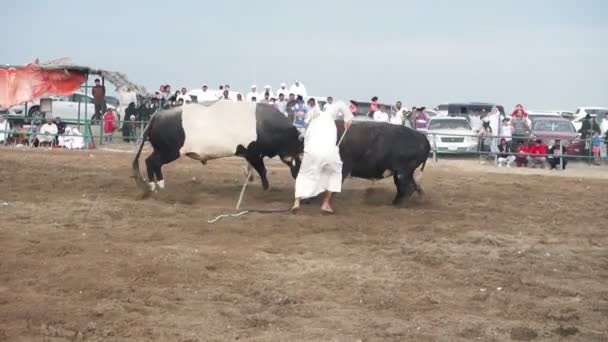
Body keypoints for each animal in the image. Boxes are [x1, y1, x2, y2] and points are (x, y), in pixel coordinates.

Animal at [133, 101, 304, 192]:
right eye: (302, 154)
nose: (299, 176)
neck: (263, 124)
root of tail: (158, 115)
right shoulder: (253, 153)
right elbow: (262, 170)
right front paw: (266, 187)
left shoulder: (251, 155)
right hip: (170, 151)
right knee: (153, 162)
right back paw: (156, 186)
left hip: (161, 150)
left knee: (151, 162)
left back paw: (158, 185)